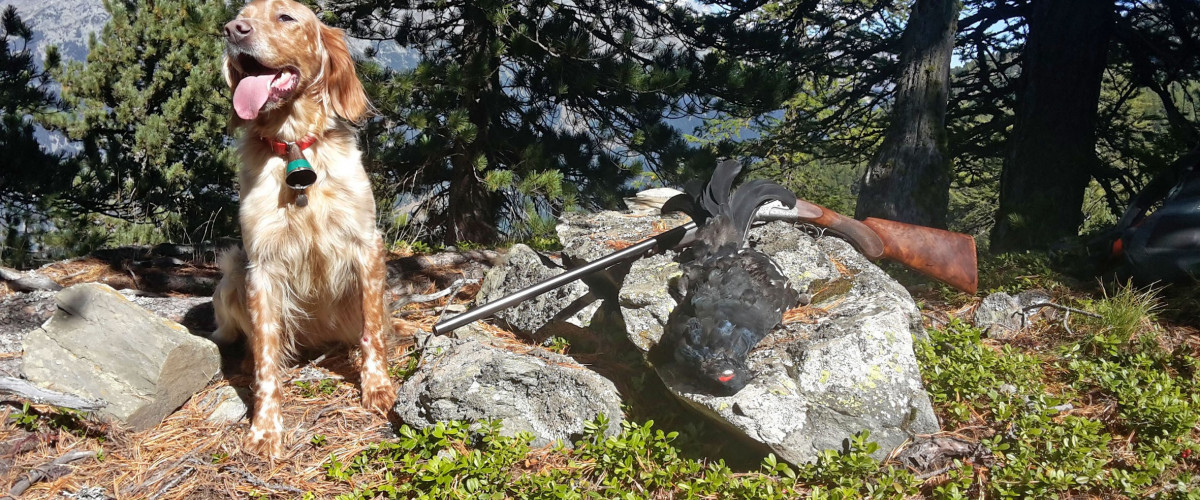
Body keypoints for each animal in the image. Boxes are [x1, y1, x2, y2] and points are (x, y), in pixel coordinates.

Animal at [207, 0, 393, 455]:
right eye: (242, 14)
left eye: (286, 17)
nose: (233, 30)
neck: (294, 146)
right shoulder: (261, 266)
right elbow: (267, 359)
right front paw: (265, 428)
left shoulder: (367, 245)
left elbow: (373, 331)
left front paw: (377, 387)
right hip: (232, 268)